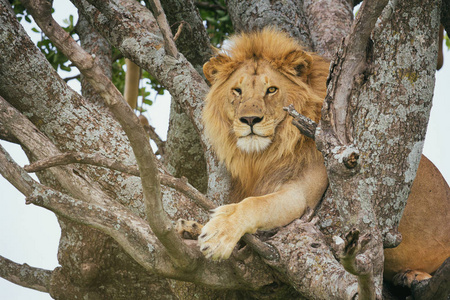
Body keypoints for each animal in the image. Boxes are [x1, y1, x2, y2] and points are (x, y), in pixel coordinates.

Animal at [197, 28, 450, 286]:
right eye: (237, 91)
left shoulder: (300, 195)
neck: (265, 154)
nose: (249, 120)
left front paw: (219, 234)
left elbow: (255, 204)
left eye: (271, 90)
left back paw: (413, 276)